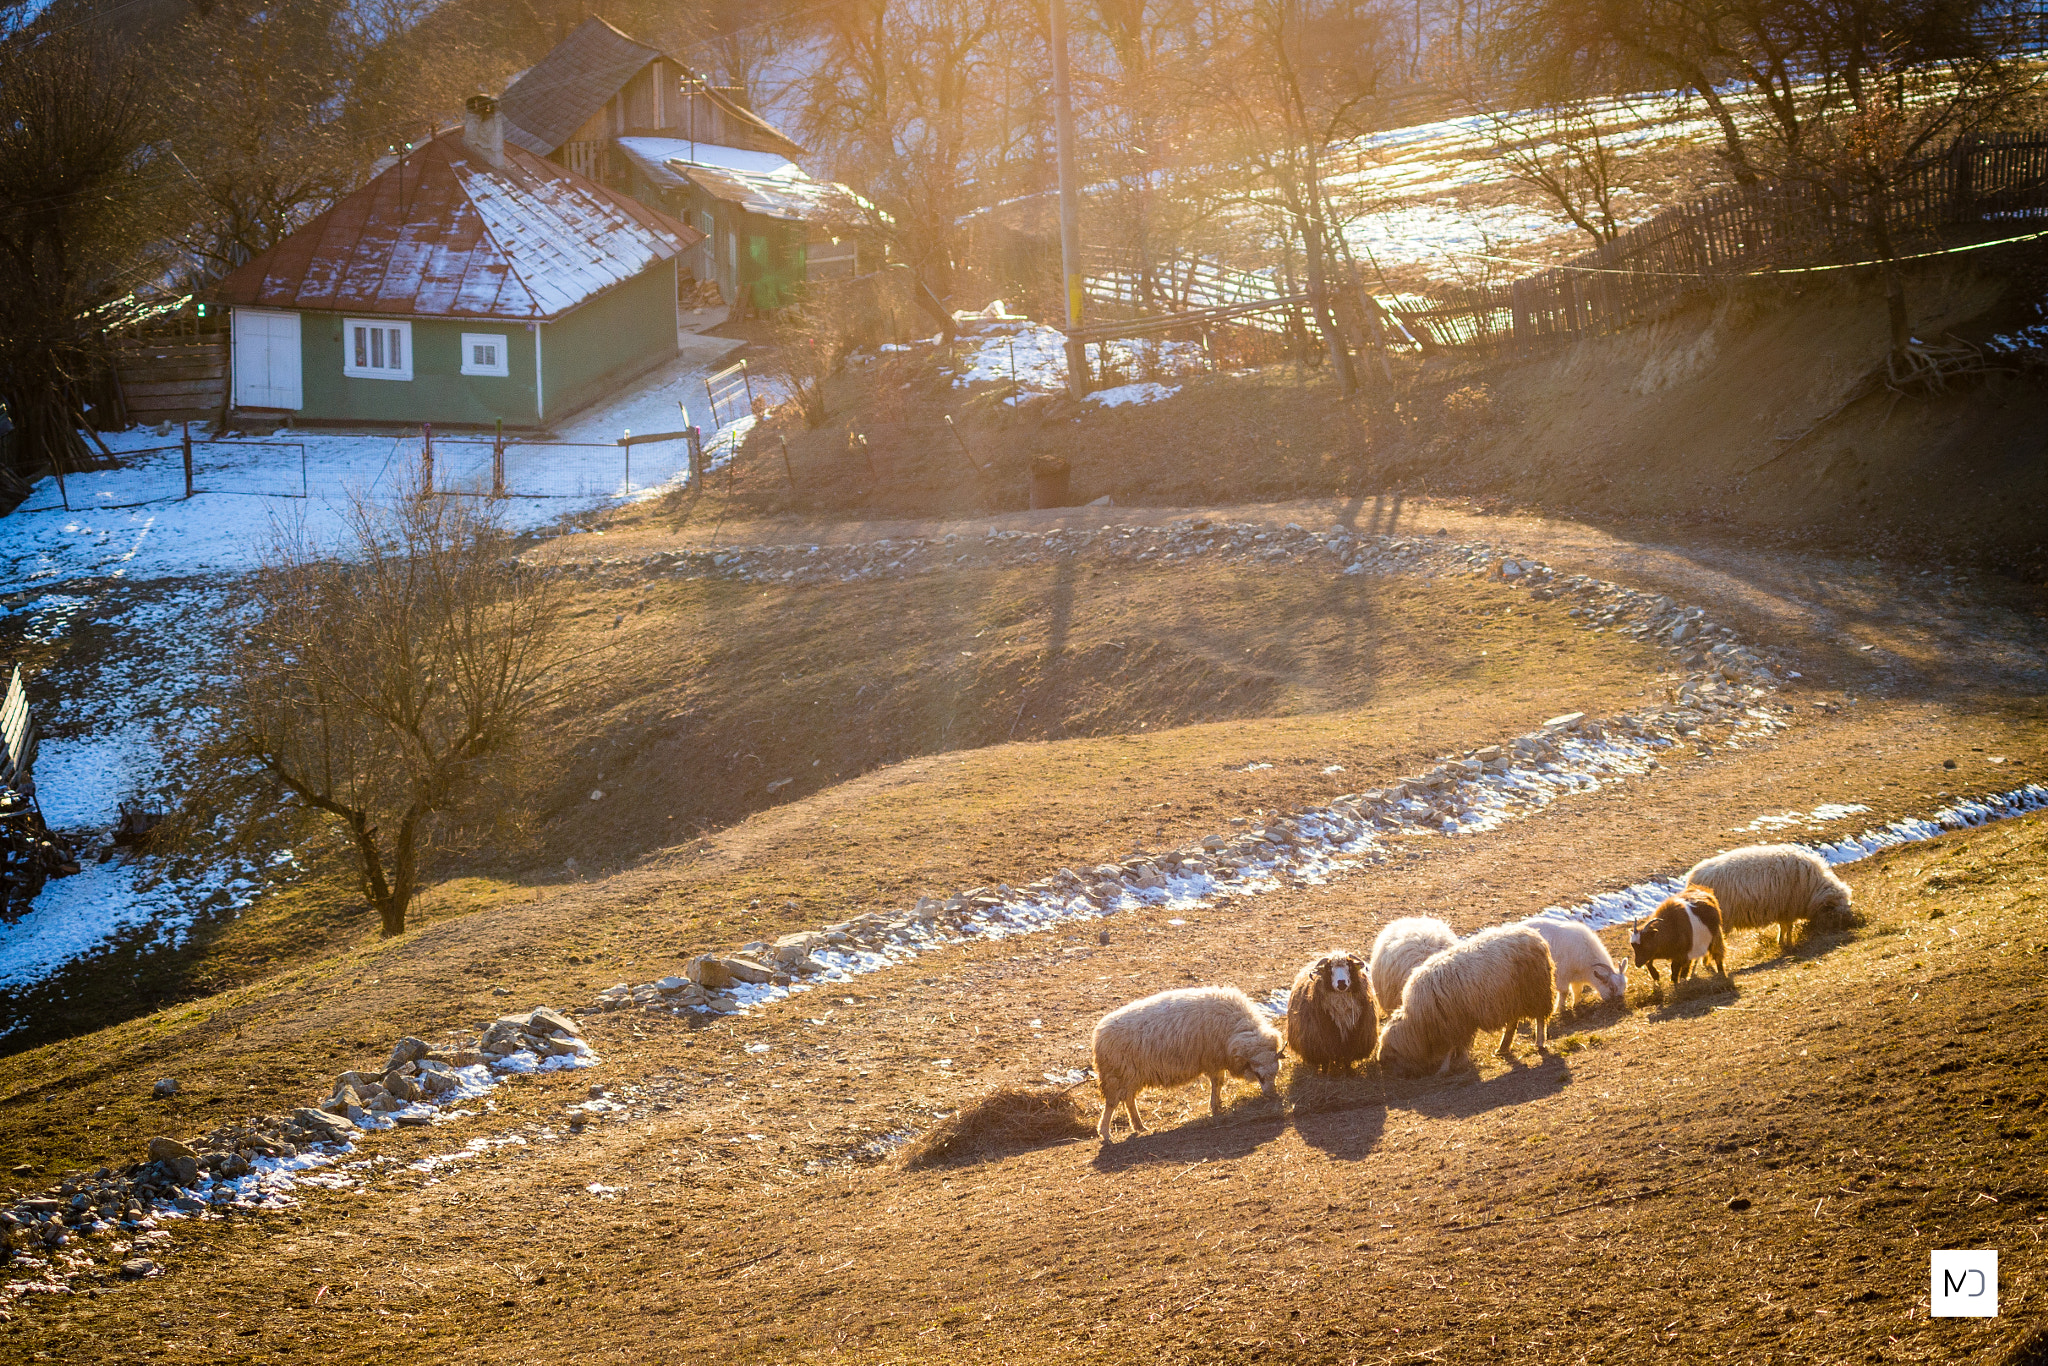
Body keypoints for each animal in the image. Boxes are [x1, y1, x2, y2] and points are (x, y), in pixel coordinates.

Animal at [1089, 983, 1277, 1146]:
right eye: (1259, 1075)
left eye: (1275, 1073)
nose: (1272, 1096)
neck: (1237, 1027)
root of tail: (1098, 1034)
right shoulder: (1213, 1060)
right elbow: (1217, 1083)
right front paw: (1215, 1107)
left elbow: (1218, 1083)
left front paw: (1217, 1105)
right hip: (1115, 1075)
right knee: (1111, 1104)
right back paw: (1105, 1133)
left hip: (1131, 1076)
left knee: (1129, 1100)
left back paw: (1139, 1125)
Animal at [1376, 929, 1548, 1081]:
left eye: (1392, 1055)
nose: (1381, 1063)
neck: (1417, 1020)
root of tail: (1534, 935)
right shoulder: (1455, 1023)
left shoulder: (1452, 1023)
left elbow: (1450, 1047)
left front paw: (1445, 1068)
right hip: (1513, 999)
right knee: (1512, 1023)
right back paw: (1503, 1048)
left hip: (1536, 990)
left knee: (1540, 1019)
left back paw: (1539, 1043)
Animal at [1679, 843, 1859, 950]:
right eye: (1836, 913)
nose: (1852, 925)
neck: (1812, 888)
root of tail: (1692, 879)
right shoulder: (1788, 908)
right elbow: (1787, 928)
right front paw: (1788, 944)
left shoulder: (1783, 910)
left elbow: (1784, 927)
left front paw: (1782, 942)